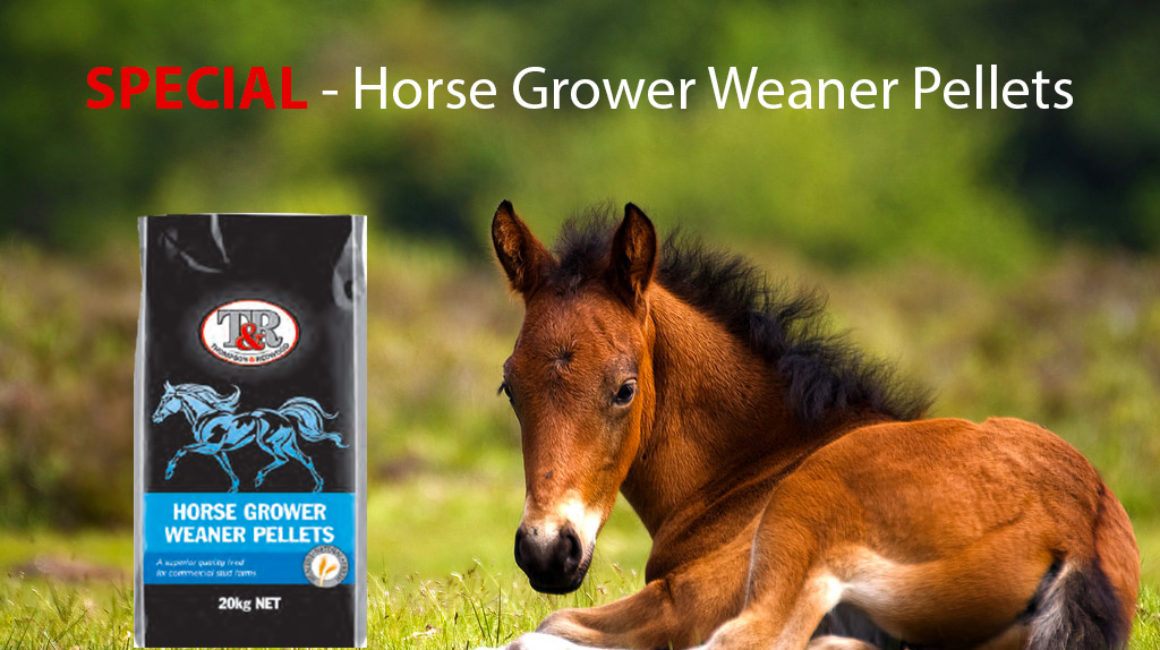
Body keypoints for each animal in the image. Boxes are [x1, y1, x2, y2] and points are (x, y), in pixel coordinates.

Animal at [151, 381, 347, 493]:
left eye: (166, 399)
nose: (155, 417)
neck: (206, 416)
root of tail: (283, 416)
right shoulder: (218, 451)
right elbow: (227, 467)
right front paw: (234, 488)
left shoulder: (211, 447)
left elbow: (182, 449)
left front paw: (168, 472)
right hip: (287, 444)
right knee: (305, 459)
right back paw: (318, 486)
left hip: (268, 443)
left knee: (282, 459)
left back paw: (259, 478)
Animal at [484, 201, 1140, 650]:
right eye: (509, 387)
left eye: (625, 389)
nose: (547, 551)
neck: (758, 463)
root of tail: (1078, 530)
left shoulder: (686, 599)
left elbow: (548, 625)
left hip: (799, 530)